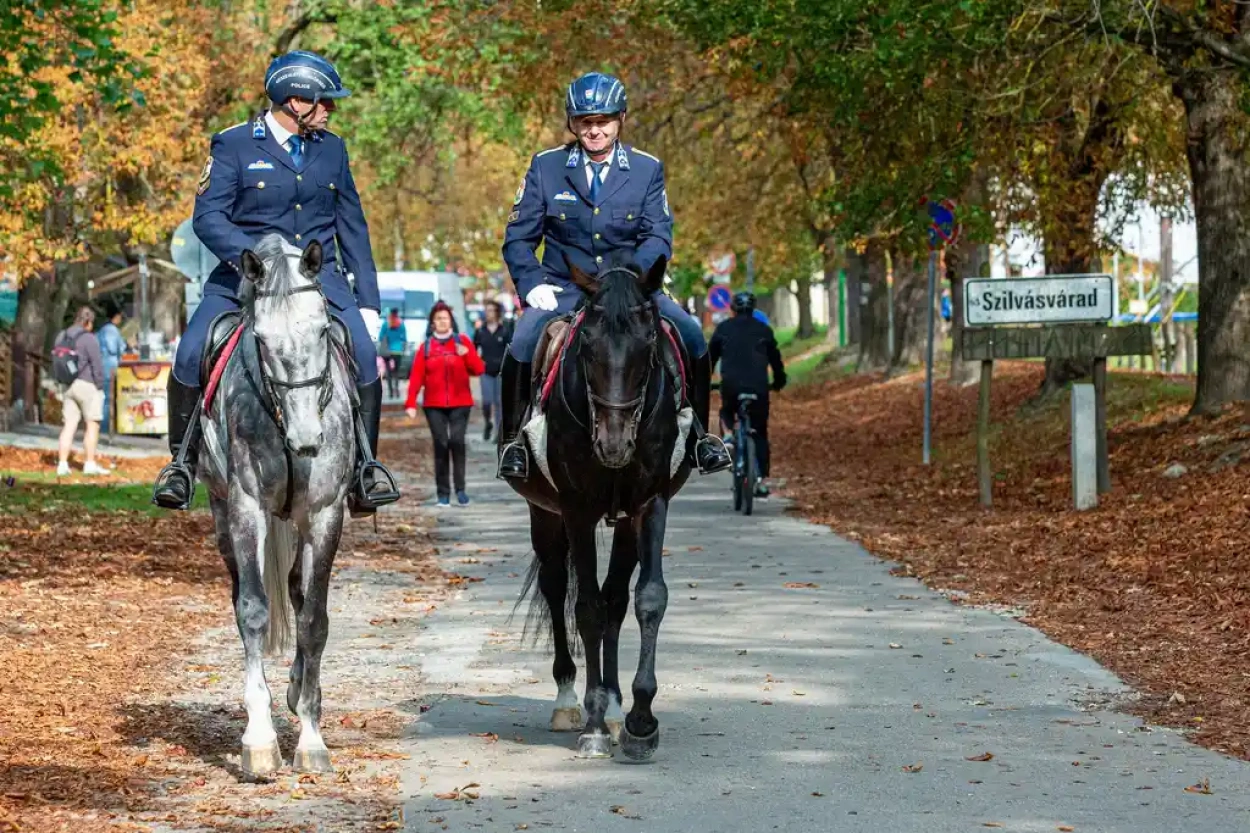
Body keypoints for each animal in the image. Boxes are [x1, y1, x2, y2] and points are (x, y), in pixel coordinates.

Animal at [196, 231, 352, 770]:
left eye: (323, 332)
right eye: (262, 340)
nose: (307, 439)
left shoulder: (325, 514)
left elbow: (315, 620)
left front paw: (311, 737)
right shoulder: (246, 509)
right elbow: (253, 611)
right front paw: (260, 739)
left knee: (301, 594)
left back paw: (299, 688)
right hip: (222, 514)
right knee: (245, 596)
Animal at [510, 252, 705, 760]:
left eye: (649, 344)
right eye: (586, 348)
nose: (614, 445)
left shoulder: (649, 504)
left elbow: (646, 599)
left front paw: (639, 720)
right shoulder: (576, 509)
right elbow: (587, 609)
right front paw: (594, 724)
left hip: (623, 524)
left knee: (616, 599)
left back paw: (617, 707)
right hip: (546, 515)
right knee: (558, 588)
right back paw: (568, 699)